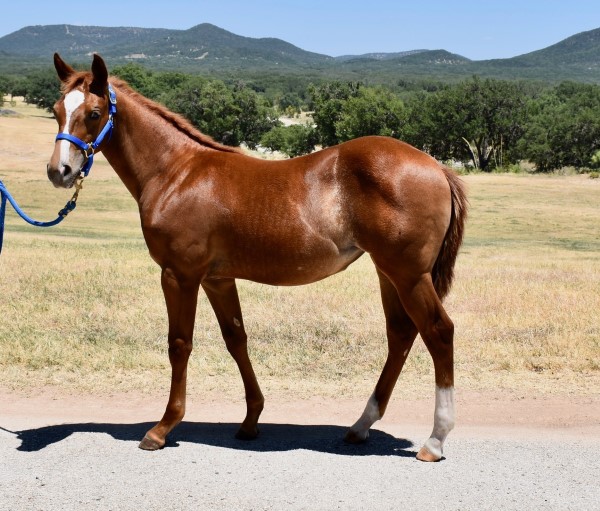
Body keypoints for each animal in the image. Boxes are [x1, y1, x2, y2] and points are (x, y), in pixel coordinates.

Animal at [48, 54, 468, 462]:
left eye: (94, 113)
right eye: (56, 111)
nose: (59, 171)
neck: (176, 173)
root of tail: (437, 167)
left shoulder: (179, 275)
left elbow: (179, 344)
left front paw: (162, 428)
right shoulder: (217, 279)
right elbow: (237, 339)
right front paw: (251, 420)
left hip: (409, 275)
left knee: (438, 332)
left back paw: (435, 440)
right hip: (388, 273)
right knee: (400, 335)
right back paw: (361, 426)